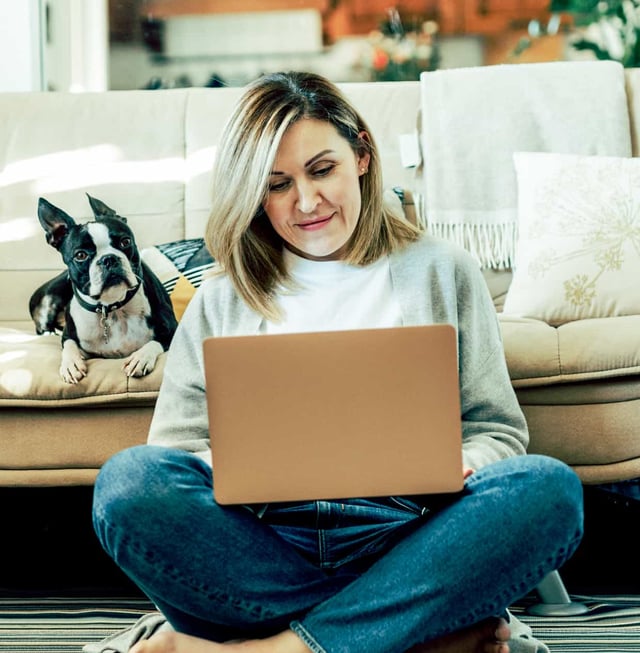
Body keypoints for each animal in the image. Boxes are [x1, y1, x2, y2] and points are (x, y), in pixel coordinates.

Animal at [30, 196, 178, 384]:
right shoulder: (69, 335)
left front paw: (141, 358)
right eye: (80, 255)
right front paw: (71, 364)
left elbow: (154, 342)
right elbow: (69, 345)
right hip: (50, 299)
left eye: (125, 242)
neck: (111, 308)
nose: (109, 258)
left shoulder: (173, 328)